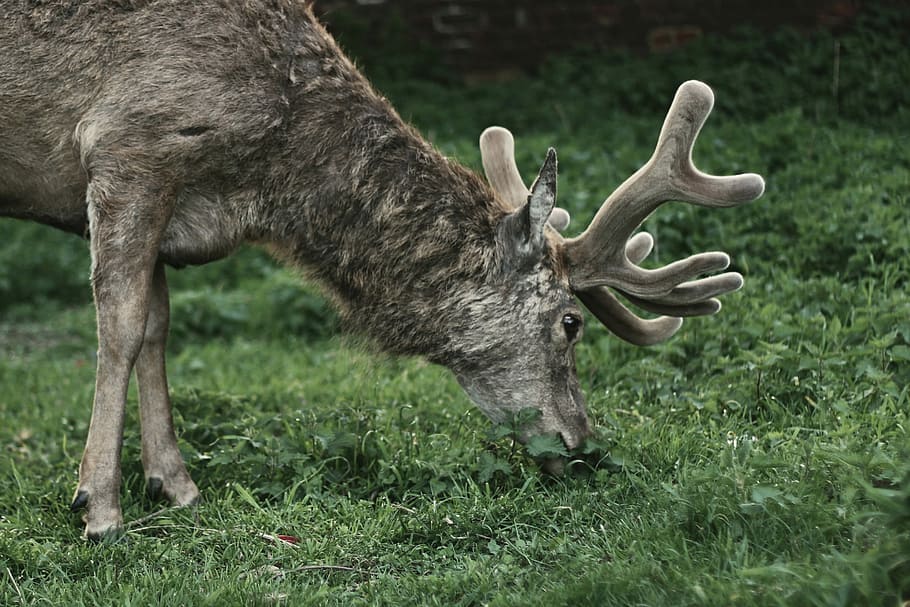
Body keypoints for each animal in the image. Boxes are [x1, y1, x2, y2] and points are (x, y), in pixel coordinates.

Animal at [0, 0, 764, 539]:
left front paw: (176, 486)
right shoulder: (130, 149)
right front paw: (100, 507)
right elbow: (122, 328)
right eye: (571, 322)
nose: (582, 444)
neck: (261, 180)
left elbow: (158, 327)